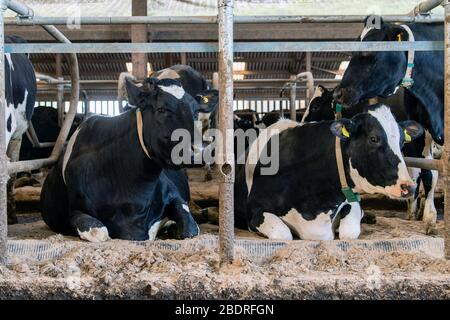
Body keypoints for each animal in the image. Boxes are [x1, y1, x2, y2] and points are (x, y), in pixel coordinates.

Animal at [41, 77, 200, 241]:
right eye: (161, 109)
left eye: (196, 112)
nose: (197, 149)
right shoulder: (75, 211)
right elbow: (99, 232)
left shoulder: (174, 195)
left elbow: (189, 228)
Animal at [236, 104, 422, 240]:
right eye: (374, 139)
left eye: (402, 142)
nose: (409, 187)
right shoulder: (254, 212)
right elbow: (283, 234)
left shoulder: (351, 201)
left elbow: (349, 233)